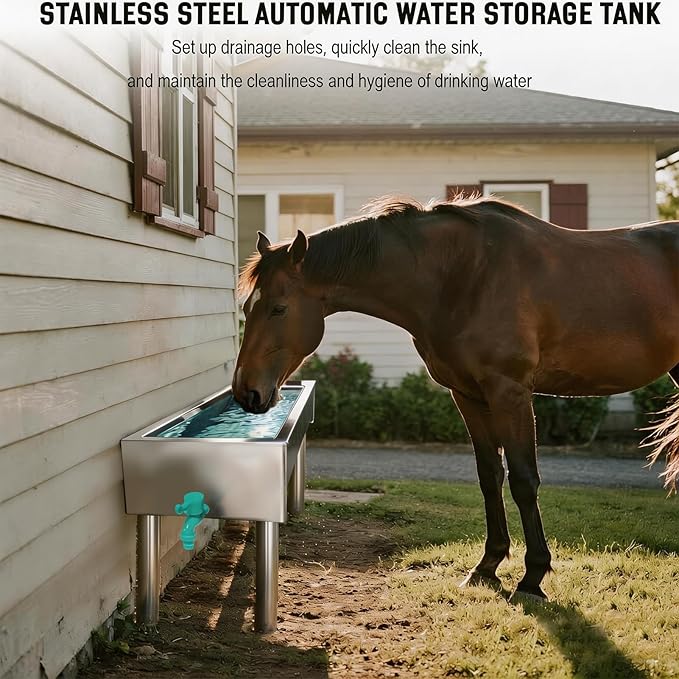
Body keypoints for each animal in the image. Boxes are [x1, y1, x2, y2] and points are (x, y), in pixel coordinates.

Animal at [233, 194, 679, 599]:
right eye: (247, 308)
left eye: (278, 308)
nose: (245, 391)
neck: (463, 275)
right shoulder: (468, 395)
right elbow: (489, 476)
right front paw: (487, 566)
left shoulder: (510, 393)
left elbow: (523, 480)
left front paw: (532, 578)